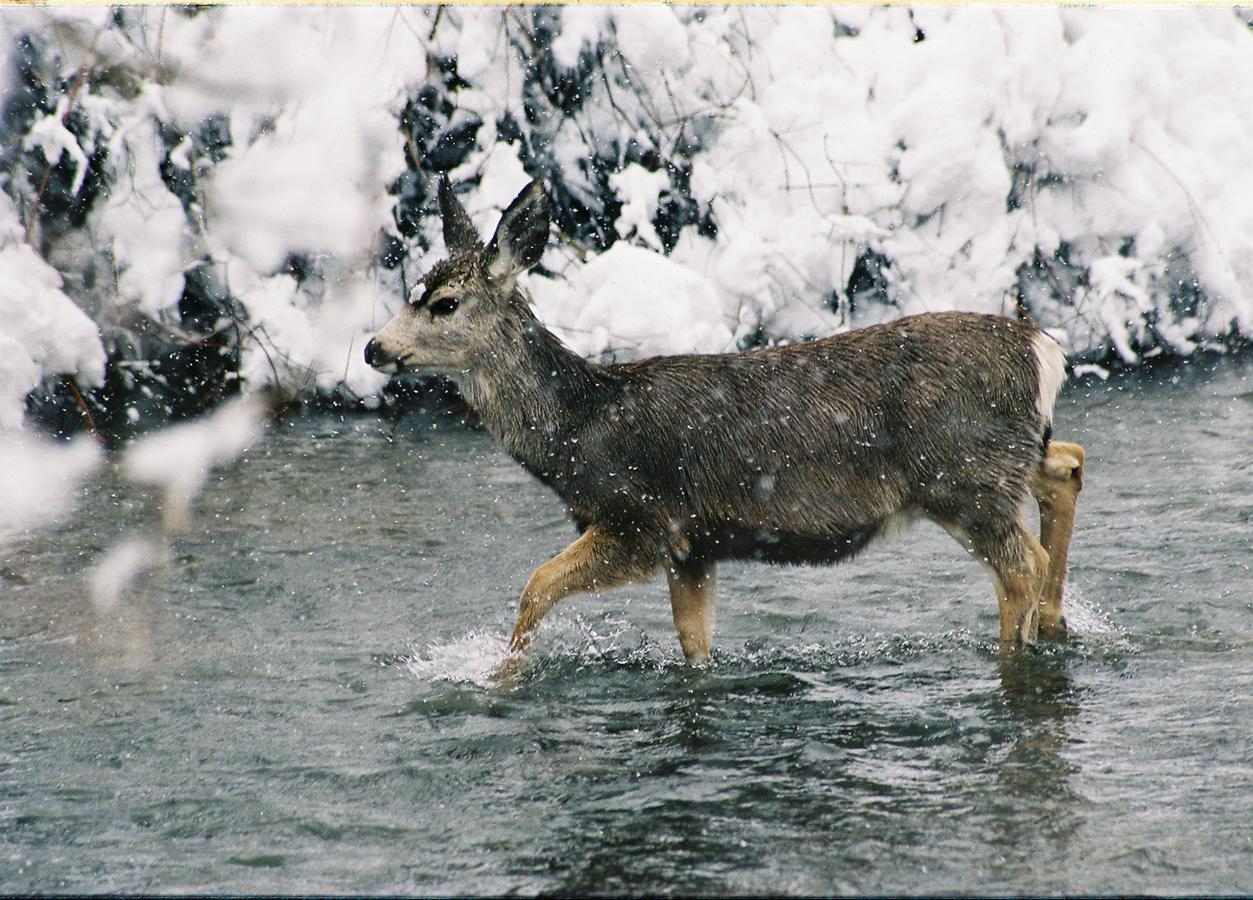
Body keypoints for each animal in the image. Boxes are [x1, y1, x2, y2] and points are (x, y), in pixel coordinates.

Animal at [365, 179, 1087, 666]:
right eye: (413, 291)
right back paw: (1056, 622)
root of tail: (1041, 350)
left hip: (961, 474)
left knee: (1020, 562)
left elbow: (534, 587)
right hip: (1002, 459)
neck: (581, 426)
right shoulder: (695, 544)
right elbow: (694, 644)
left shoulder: (643, 520)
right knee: (1067, 464)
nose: (373, 347)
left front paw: (501, 674)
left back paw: (1014, 652)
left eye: (444, 302)